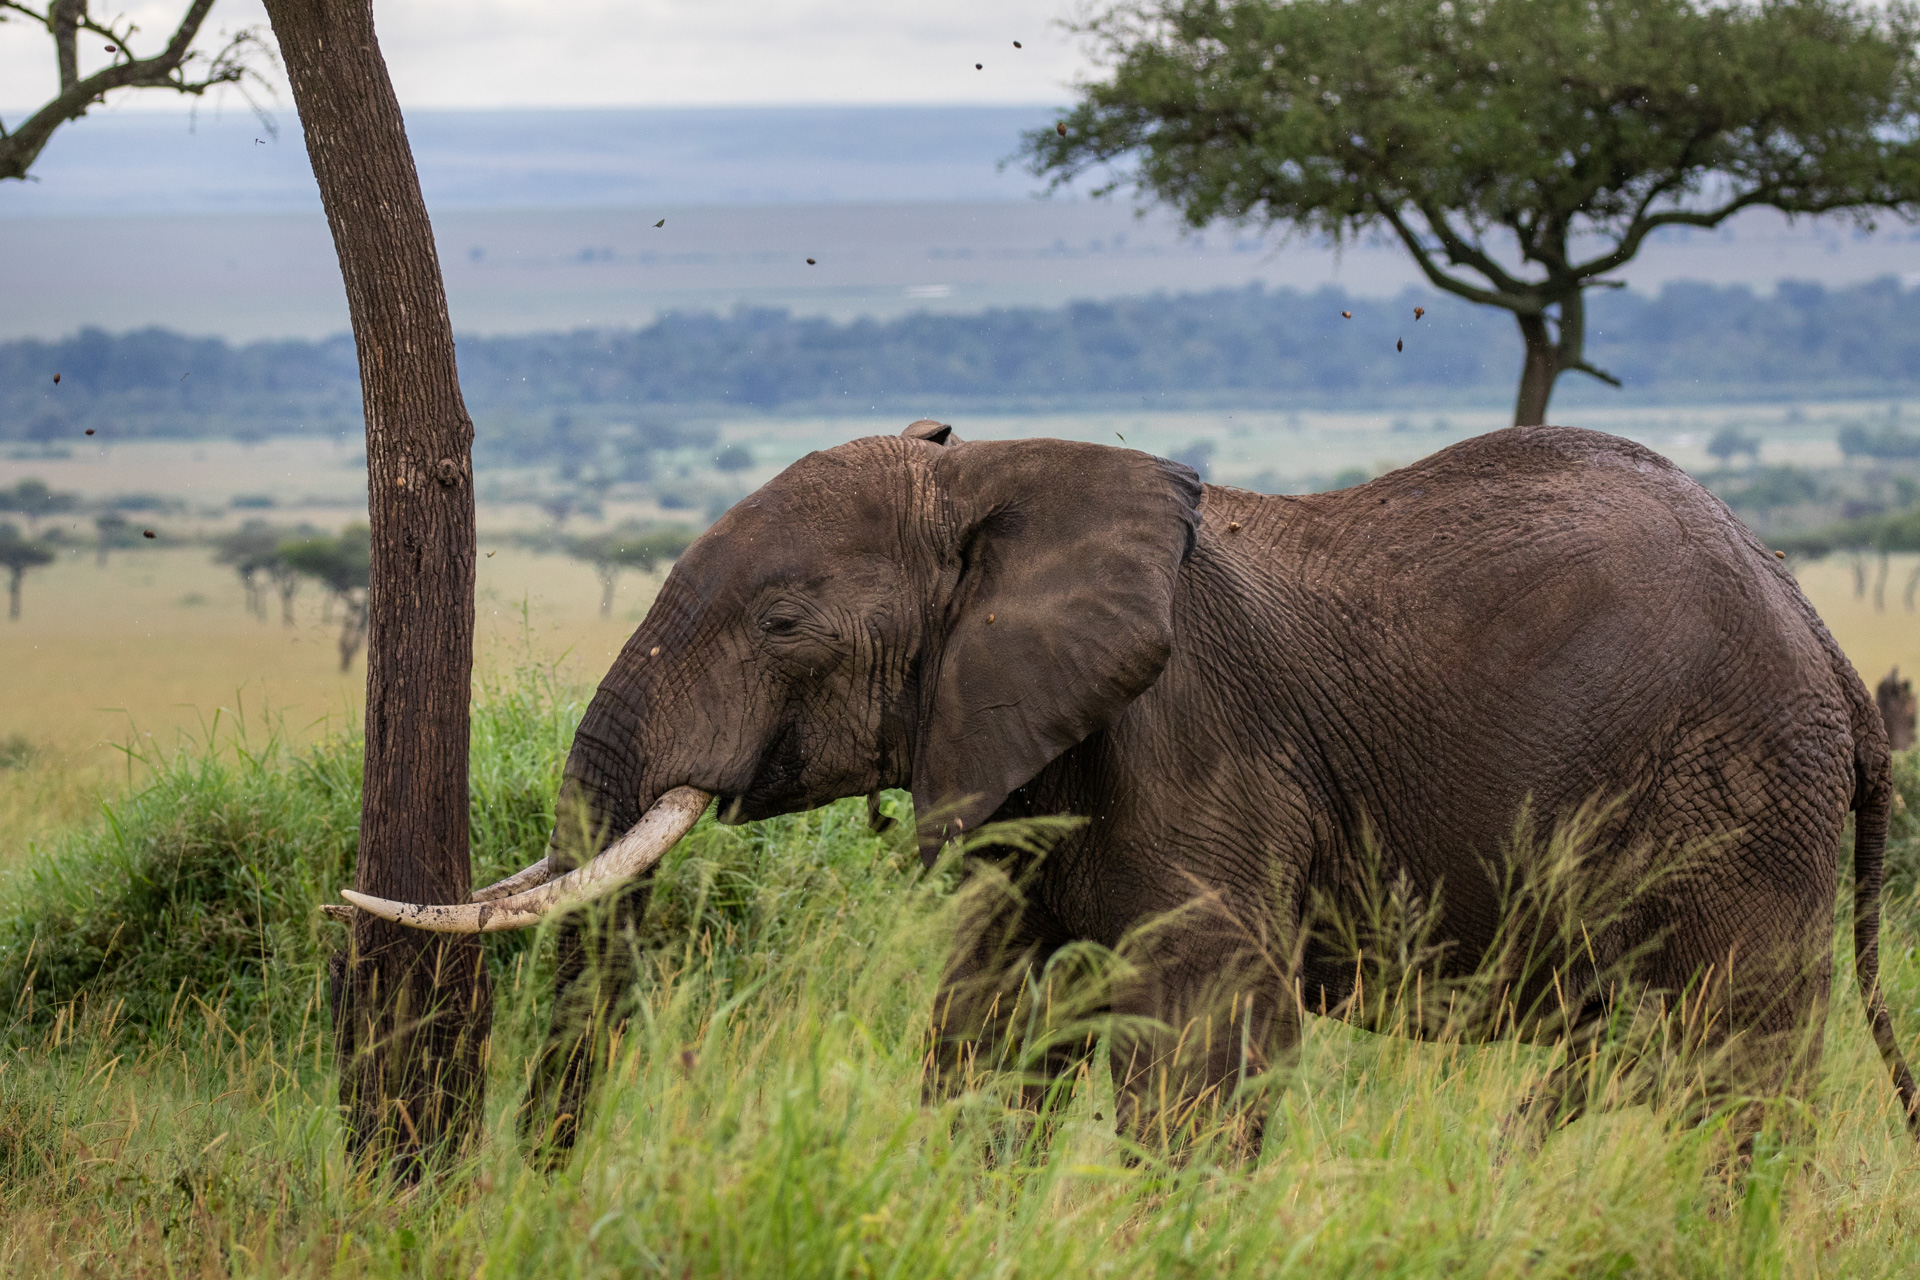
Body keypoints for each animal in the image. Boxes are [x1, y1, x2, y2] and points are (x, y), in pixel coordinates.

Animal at [345, 422, 1920, 1159]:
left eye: (785, 622)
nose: (541, 1176)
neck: (1004, 472)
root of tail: (1834, 655)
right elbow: (988, 1021)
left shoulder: (1197, 743)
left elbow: (1204, 1040)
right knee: (1630, 1049)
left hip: (1742, 798)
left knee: (1732, 1056)